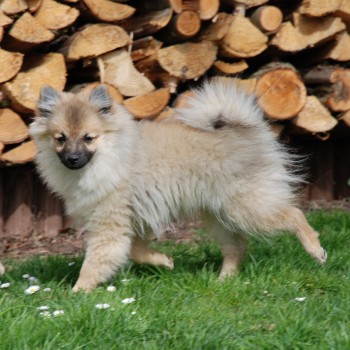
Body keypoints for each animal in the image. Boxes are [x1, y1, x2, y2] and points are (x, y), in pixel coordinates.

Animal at [28, 78, 326, 292]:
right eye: (60, 138)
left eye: (88, 138)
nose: (72, 158)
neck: (112, 156)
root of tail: (246, 129)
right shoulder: (133, 221)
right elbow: (136, 252)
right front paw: (164, 262)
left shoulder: (109, 225)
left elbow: (95, 262)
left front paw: (77, 292)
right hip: (217, 215)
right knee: (237, 246)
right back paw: (224, 279)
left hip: (248, 206)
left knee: (294, 214)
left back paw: (316, 250)